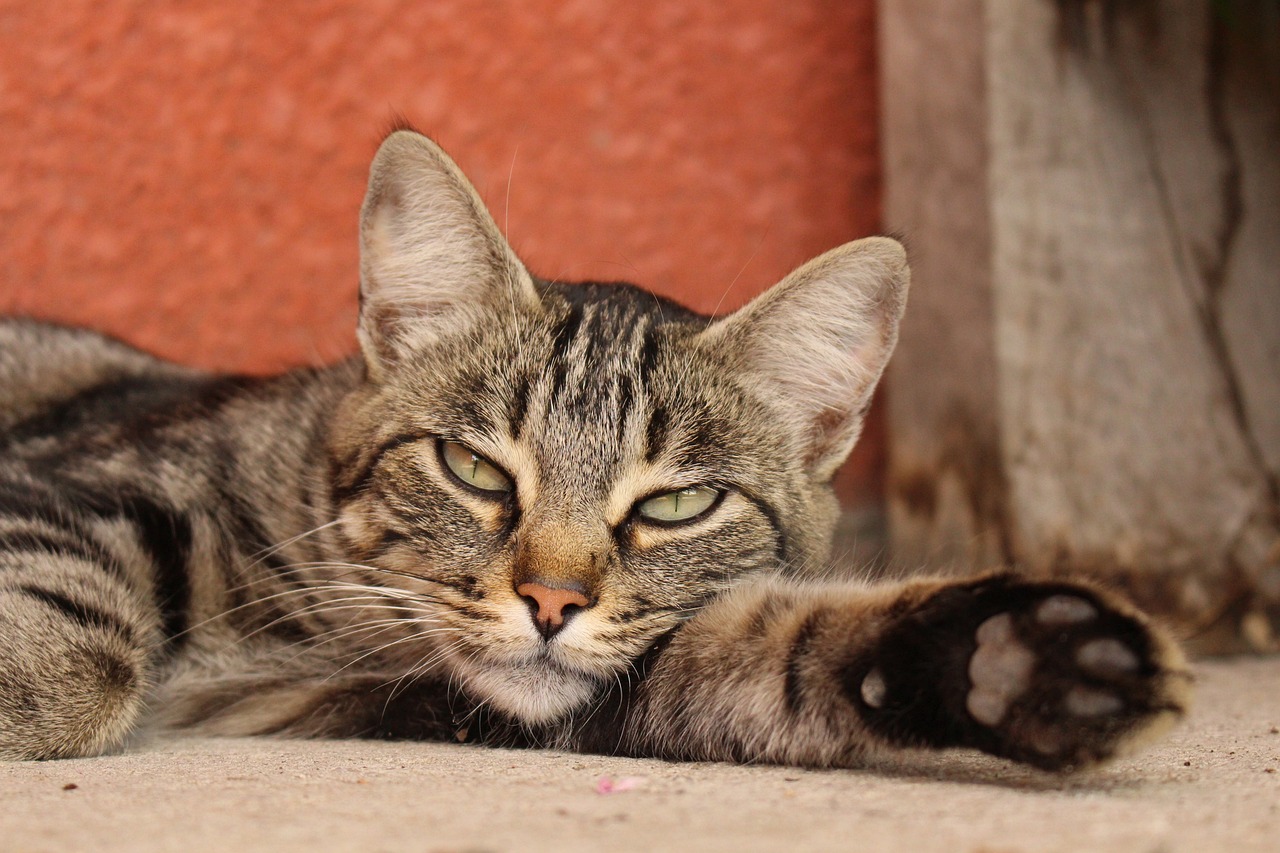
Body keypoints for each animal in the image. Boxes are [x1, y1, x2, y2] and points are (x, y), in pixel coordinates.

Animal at [0, 128, 1187, 768]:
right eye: (474, 467)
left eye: (674, 506)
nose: (551, 602)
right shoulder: (75, 478)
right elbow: (79, 653)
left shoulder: (587, 688)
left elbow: (781, 650)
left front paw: (1016, 658)